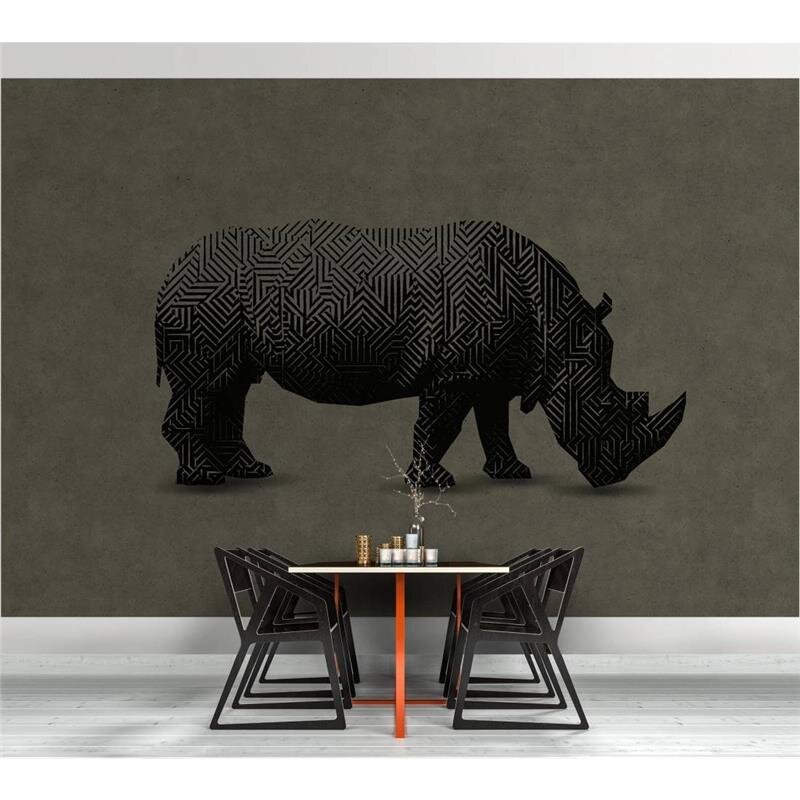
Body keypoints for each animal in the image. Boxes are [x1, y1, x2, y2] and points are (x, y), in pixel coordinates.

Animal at [155, 220, 685, 487]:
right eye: (604, 407)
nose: (613, 477)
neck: (558, 330)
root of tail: (172, 269)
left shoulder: (495, 369)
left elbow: (494, 422)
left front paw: (513, 474)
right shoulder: (457, 371)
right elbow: (442, 424)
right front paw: (434, 483)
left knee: (233, 384)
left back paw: (251, 472)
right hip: (205, 299)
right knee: (207, 383)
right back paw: (204, 479)